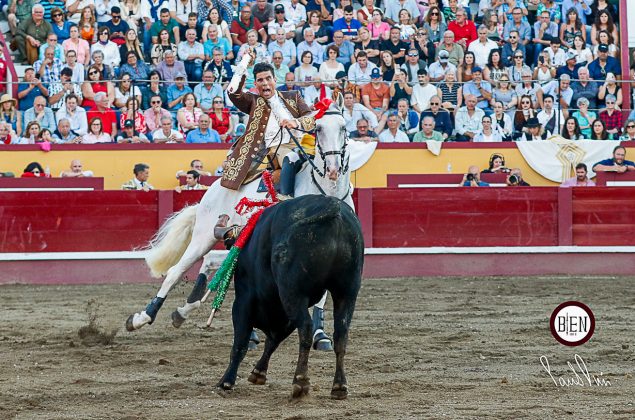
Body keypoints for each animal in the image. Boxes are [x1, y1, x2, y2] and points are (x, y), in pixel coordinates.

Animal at [125, 96, 352, 339]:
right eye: (318, 129)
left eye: (344, 128)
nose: (333, 169)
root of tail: (214, 189)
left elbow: (322, 294)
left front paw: (320, 334)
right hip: (203, 236)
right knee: (176, 271)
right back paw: (141, 317)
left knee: (213, 261)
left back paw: (184, 311)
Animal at [216, 194, 364, 399]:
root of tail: (332, 206)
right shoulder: (286, 313)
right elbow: (273, 340)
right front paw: (258, 372)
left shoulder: (244, 300)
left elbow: (241, 341)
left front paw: (226, 381)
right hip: (347, 291)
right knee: (341, 334)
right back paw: (339, 386)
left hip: (292, 292)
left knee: (307, 327)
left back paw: (300, 381)